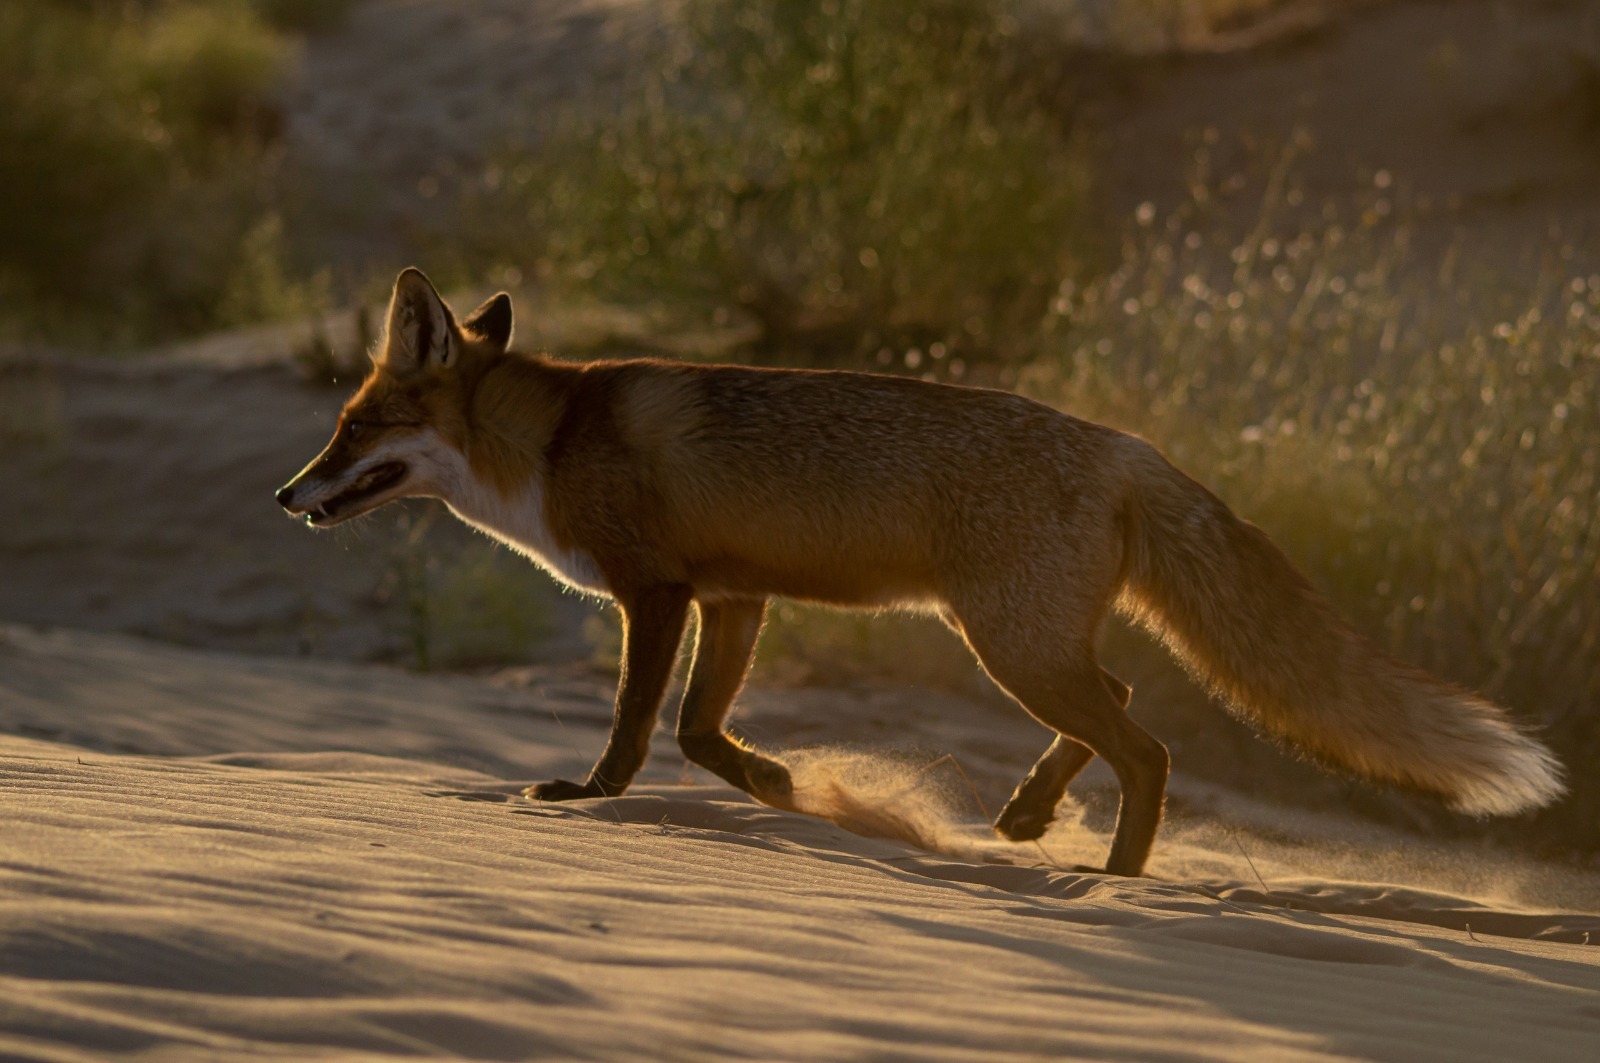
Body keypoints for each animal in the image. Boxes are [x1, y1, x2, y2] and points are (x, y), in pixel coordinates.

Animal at [275, 270, 1561, 877]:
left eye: (351, 426)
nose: (287, 494)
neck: (549, 444)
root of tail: (1126, 444)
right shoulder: (733, 595)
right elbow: (700, 732)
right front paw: (783, 784)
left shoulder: (657, 594)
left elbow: (641, 728)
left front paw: (591, 797)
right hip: (1023, 643)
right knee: (1121, 707)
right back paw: (1031, 814)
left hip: (1007, 645)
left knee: (1146, 746)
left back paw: (1116, 874)